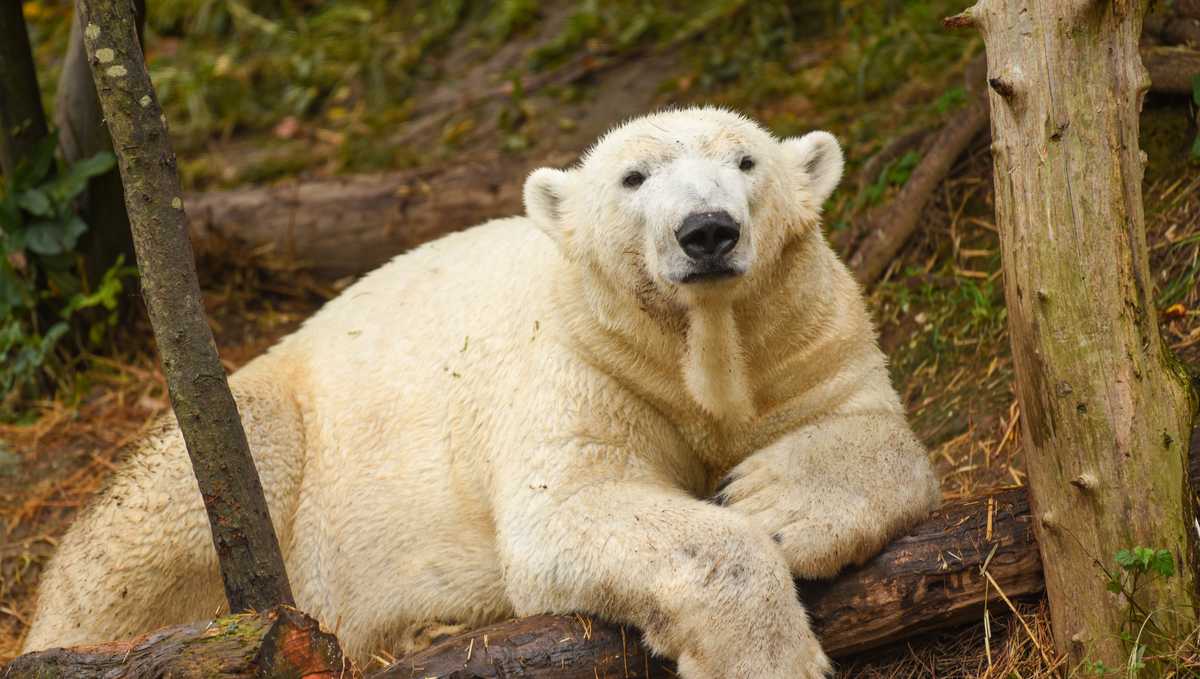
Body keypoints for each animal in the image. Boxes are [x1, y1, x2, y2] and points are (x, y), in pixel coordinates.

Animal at [18, 109, 936, 676]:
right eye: (634, 177)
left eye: (747, 161)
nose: (706, 230)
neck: (695, 344)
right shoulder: (581, 364)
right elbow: (571, 502)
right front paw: (765, 648)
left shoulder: (803, 337)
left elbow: (879, 431)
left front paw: (774, 498)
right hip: (260, 426)